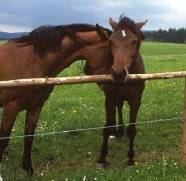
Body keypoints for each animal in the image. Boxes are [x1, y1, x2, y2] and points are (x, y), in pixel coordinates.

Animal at [0, 23, 112, 177]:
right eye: (110, 53)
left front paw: (29, 169)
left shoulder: (35, 106)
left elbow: (29, 137)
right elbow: (4, 140)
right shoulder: (11, 107)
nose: (112, 84)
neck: (30, 62)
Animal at [88, 15, 147, 167]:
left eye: (134, 41)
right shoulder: (109, 99)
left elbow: (132, 130)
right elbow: (107, 127)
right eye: (111, 41)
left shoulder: (136, 100)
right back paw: (118, 130)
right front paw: (102, 158)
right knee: (118, 108)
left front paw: (130, 159)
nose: (118, 73)